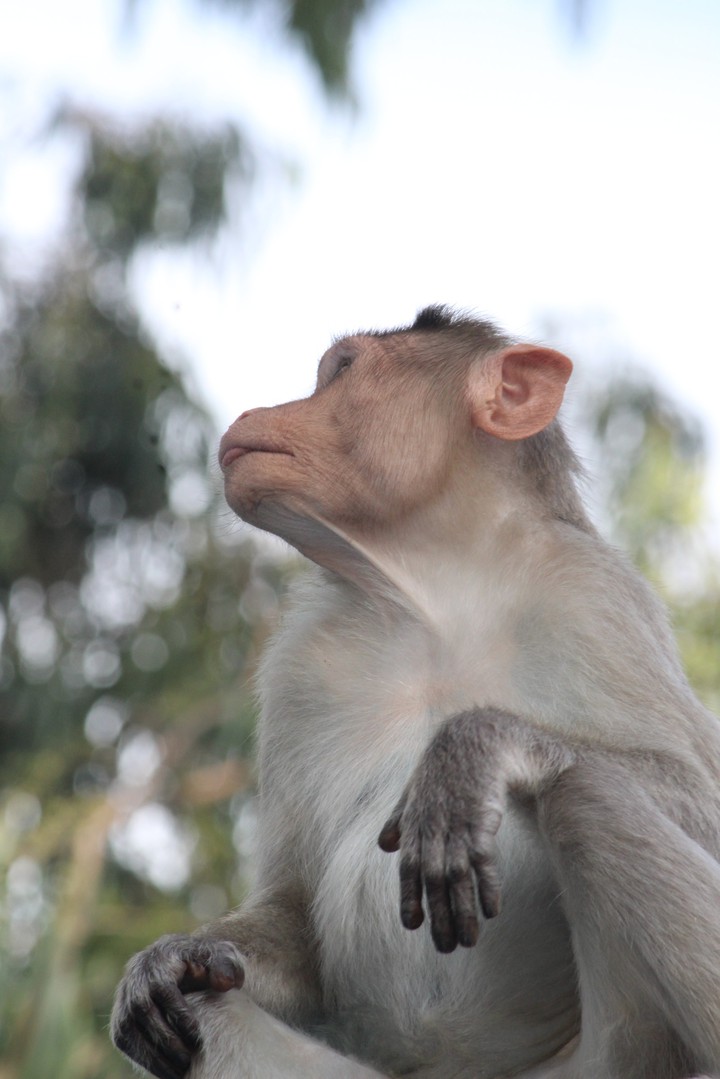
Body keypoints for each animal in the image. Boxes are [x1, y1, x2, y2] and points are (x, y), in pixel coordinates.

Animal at [111, 305, 720, 1079]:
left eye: (342, 371)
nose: (252, 414)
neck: (439, 594)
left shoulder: (595, 596)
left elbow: (700, 795)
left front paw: (470, 752)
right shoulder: (300, 662)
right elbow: (295, 917)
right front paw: (169, 960)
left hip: (626, 1056)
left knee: (589, 794)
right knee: (204, 1009)